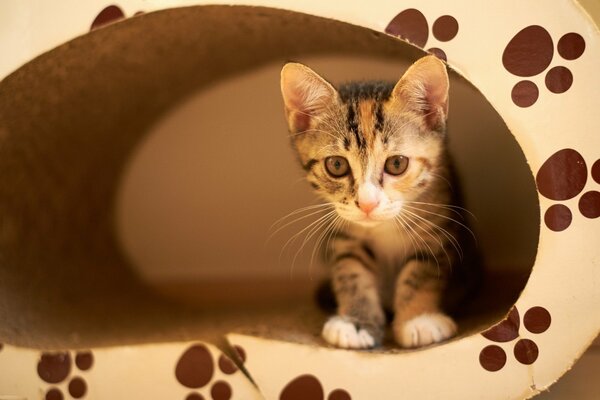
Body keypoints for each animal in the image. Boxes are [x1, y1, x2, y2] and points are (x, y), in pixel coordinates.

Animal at [278, 54, 480, 348]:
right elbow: (352, 273)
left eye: (397, 163)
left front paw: (418, 319)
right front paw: (357, 323)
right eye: (336, 165)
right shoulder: (344, 234)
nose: (367, 203)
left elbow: (422, 272)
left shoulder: (438, 227)